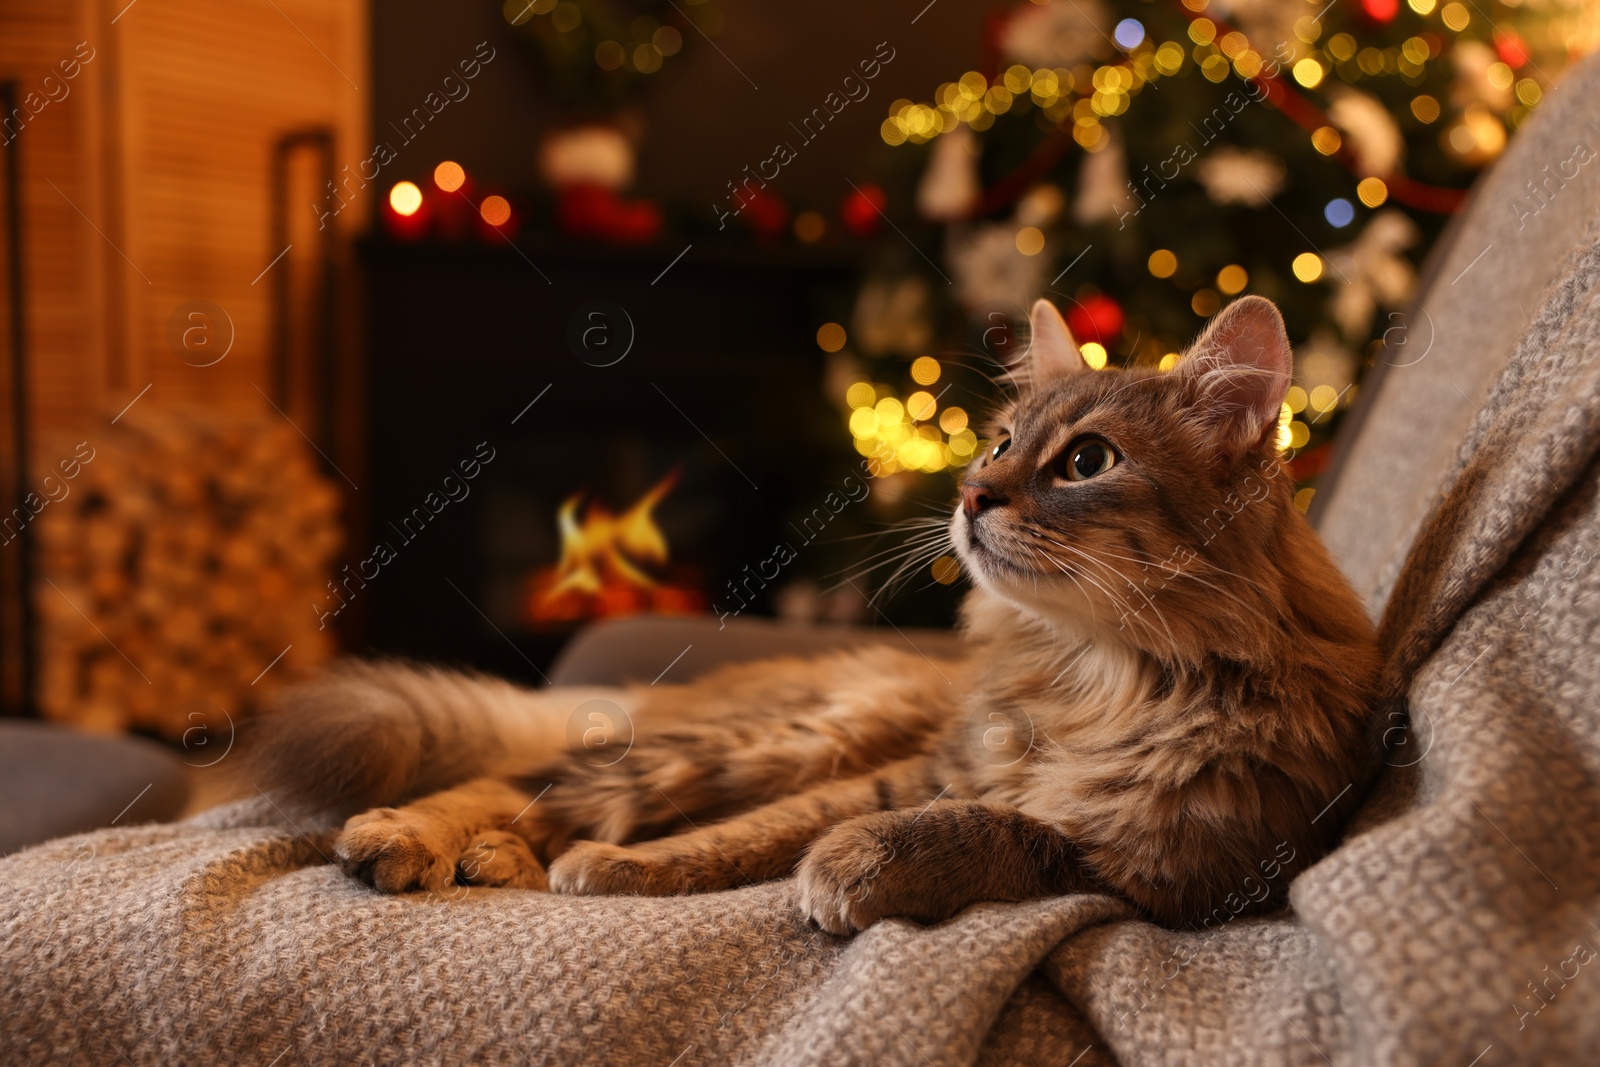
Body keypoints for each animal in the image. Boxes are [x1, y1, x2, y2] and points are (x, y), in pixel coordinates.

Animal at [246, 294, 1376, 934]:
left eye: (1087, 462)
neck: (1089, 674)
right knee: (529, 778)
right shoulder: (906, 768)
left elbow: (996, 828)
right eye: (999, 442)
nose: (971, 494)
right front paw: (628, 869)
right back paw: (411, 834)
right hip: (772, 738)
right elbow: (749, 837)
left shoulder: (1176, 867)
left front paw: (854, 864)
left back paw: (500, 858)